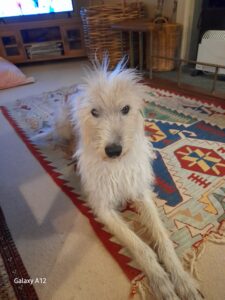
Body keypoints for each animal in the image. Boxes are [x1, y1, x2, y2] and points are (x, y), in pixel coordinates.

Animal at [55, 59, 202, 300]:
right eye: (94, 112)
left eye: (125, 109)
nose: (113, 150)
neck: (117, 165)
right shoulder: (103, 208)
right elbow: (140, 246)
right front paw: (160, 280)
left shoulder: (141, 192)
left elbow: (163, 238)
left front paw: (182, 279)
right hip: (64, 126)